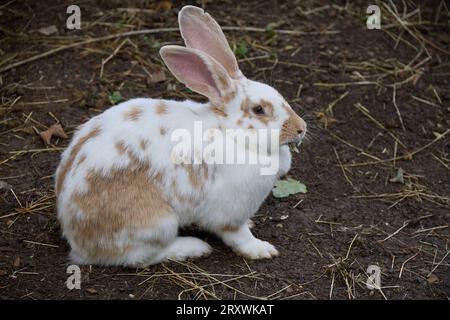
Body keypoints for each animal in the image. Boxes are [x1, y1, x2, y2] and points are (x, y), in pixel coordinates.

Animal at [54, 5, 304, 268]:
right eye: (259, 110)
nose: (301, 128)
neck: (230, 132)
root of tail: (75, 238)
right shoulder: (230, 213)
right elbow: (239, 236)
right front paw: (262, 250)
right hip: (159, 223)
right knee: (138, 257)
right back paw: (191, 247)